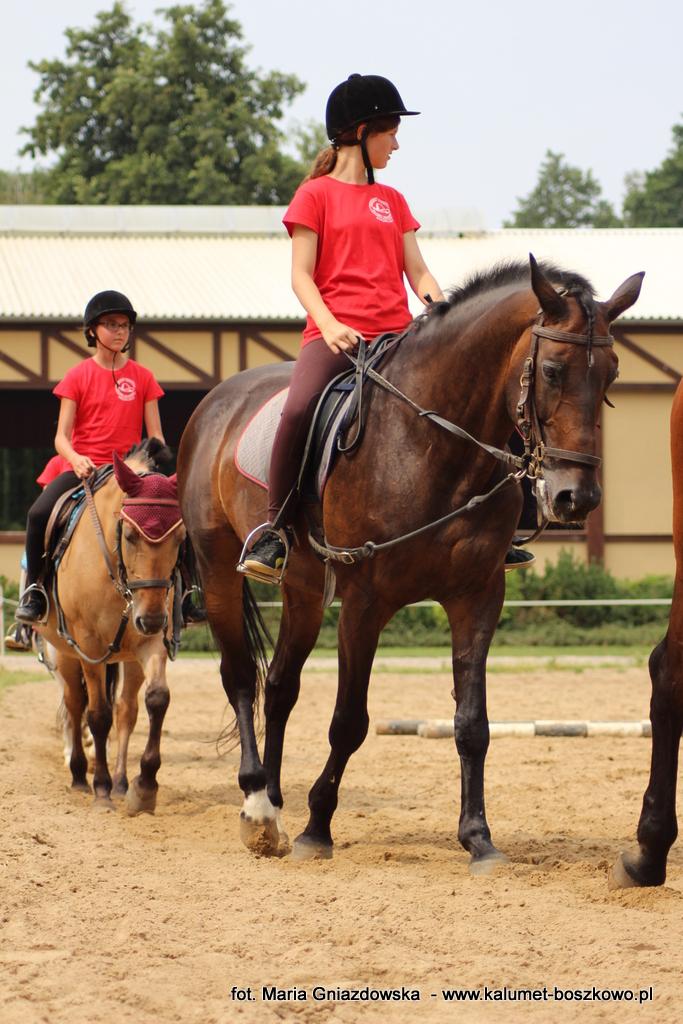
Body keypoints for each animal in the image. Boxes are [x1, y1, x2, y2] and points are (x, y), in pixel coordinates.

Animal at [32, 443, 186, 814]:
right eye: (129, 535)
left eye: (181, 538)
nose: (151, 619)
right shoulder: (89, 646)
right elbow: (98, 715)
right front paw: (100, 790)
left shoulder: (150, 644)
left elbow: (157, 699)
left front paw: (144, 786)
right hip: (64, 655)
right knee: (75, 705)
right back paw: (79, 775)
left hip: (128, 657)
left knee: (126, 711)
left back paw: (120, 782)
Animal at [177, 256, 643, 869]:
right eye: (553, 371)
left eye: (612, 375)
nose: (576, 498)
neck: (431, 445)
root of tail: (215, 401)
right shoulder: (364, 603)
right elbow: (349, 722)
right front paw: (317, 829)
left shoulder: (477, 597)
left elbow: (472, 723)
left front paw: (478, 837)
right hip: (218, 572)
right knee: (238, 677)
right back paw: (256, 805)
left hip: (304, 589)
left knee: (279, 686)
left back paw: (274, 807)